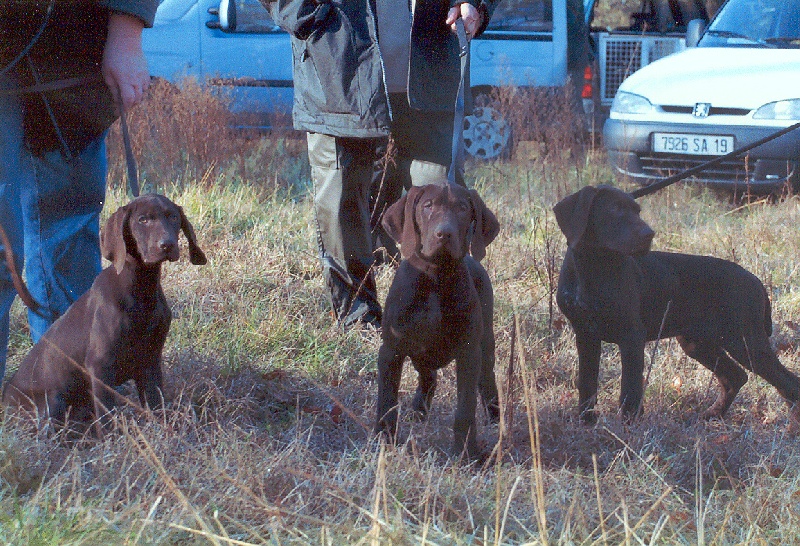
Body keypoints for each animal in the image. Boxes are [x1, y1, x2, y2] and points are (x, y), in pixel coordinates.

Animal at [2, 193, 206, 432]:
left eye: (173, 217)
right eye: (143, 220)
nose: (167, 245)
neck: (140, 287)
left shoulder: (150, 360)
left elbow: (156, 405)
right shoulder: (100, 367)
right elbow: (107, 418)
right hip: (51, 402)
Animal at [376, 184, 500, 460]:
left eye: (463, 208)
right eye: (427, 205)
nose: (444, 234)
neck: (436, 276)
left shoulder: (468, 353)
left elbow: (465, 409)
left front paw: (466, 453)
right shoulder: (391, 350)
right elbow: (387, 401)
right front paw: (383, 440)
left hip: (485, 347)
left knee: (487, 382)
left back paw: (496, 422)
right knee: (429, 377)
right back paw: (418, 411)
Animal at [552, 185, 800, 428]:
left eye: (637, 211)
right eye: (614, 209)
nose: (649, 234)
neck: (592, 267)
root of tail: (756, 280)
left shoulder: (631, 335)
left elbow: (630, 389)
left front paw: (629, 428)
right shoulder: (585, 335)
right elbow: (587, 385)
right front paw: (586, 423)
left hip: (744, 341)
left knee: (788, 382)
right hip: (698, 342)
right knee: (736, 377)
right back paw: (713, 414)